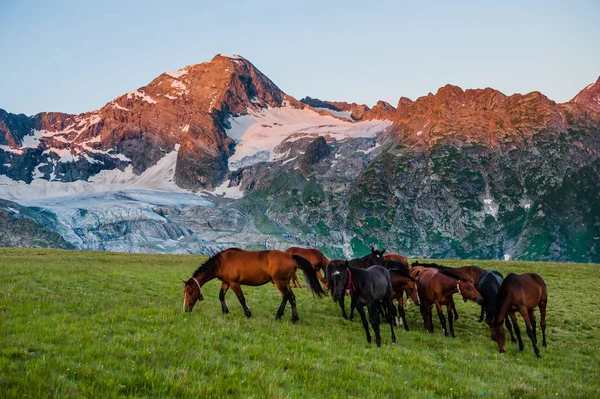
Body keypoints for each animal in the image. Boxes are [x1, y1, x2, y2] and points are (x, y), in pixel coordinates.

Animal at [180, 248, 326, 324]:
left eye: (190, 292)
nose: (186, 309)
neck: (222, 262)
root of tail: (290, 257)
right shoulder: (226, 282)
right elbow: (221, 296)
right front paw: (225, 311)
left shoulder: (234, 283)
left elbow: (241, 298)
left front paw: (248, 313)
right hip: (285, 283)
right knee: (290, 297)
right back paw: (288, 317)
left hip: (280, 282)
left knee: (287, 296)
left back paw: (285, 316)